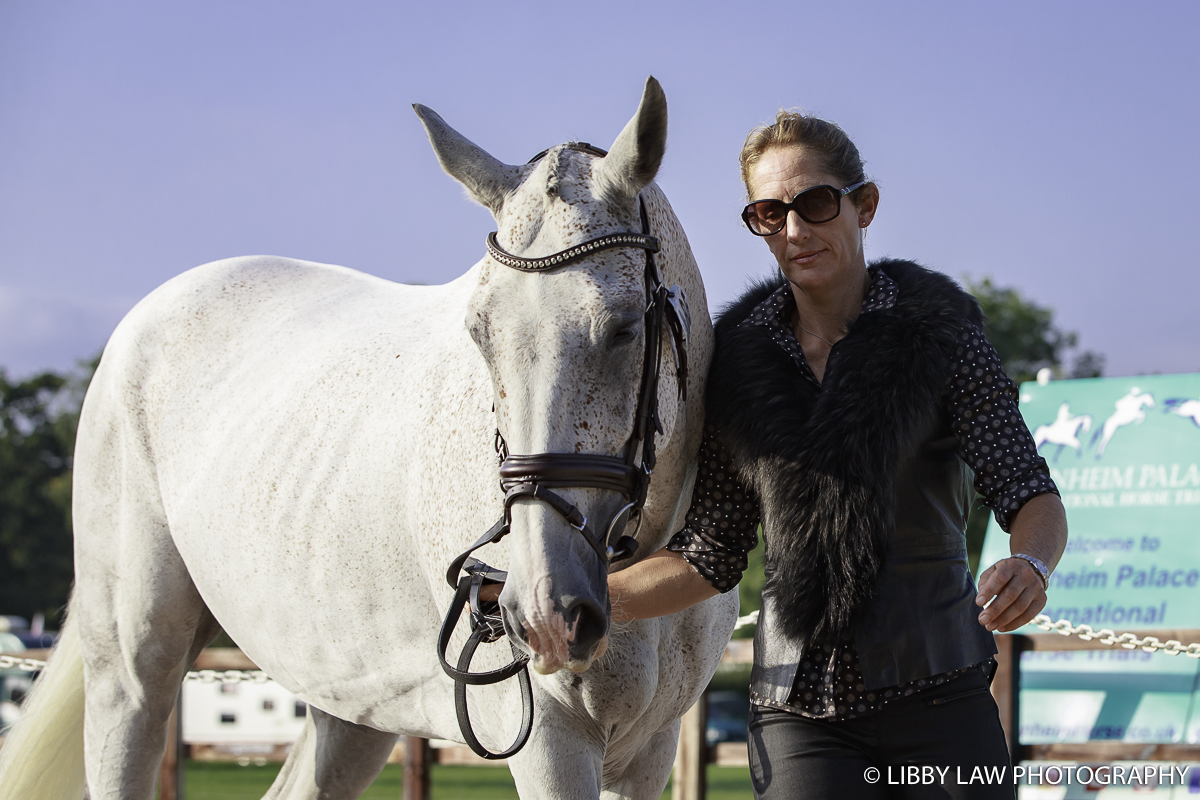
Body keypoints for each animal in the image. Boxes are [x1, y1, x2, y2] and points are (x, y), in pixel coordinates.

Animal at [0, 77, 739, 800]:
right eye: (480, 334)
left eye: (624, 327)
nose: (545, 613)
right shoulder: (550, 743)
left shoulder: (648, 749)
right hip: (131, 671)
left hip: (349, 703)